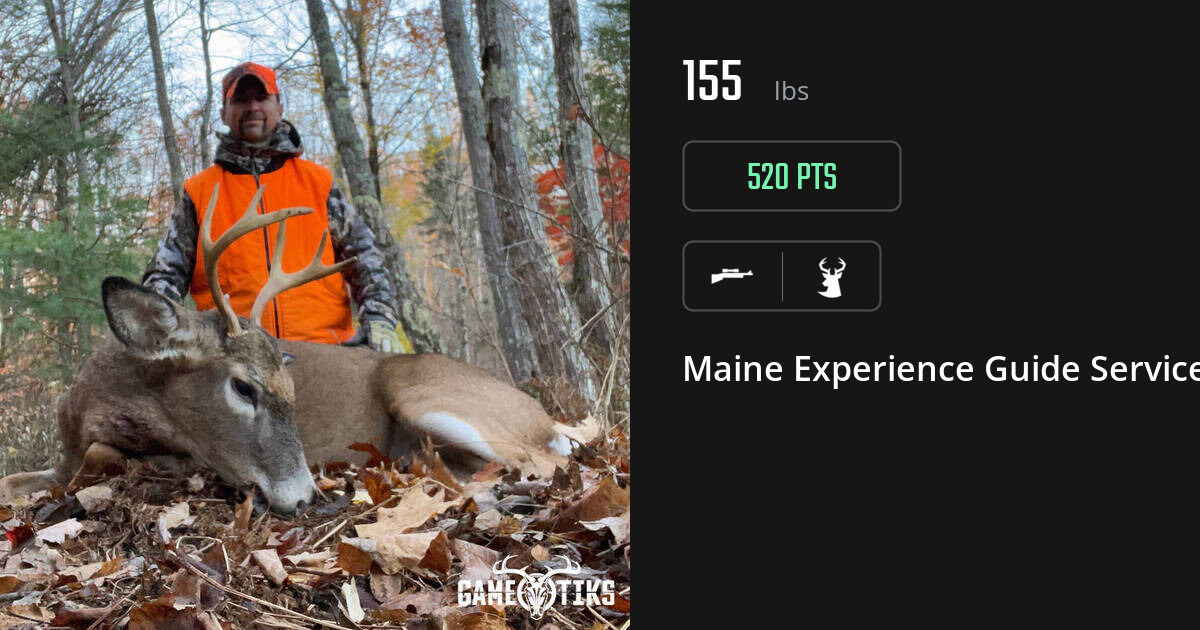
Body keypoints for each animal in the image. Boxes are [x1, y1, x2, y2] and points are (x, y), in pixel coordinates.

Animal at [0, 185, 574, 512]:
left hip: (427, 397)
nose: (304, 498)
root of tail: (545, 417)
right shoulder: (61, 457)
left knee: (541, 462)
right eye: (243, 386)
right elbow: (15, 478)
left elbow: (104, 457)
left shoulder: (186, 457)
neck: (94, 403)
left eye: (292, 390)